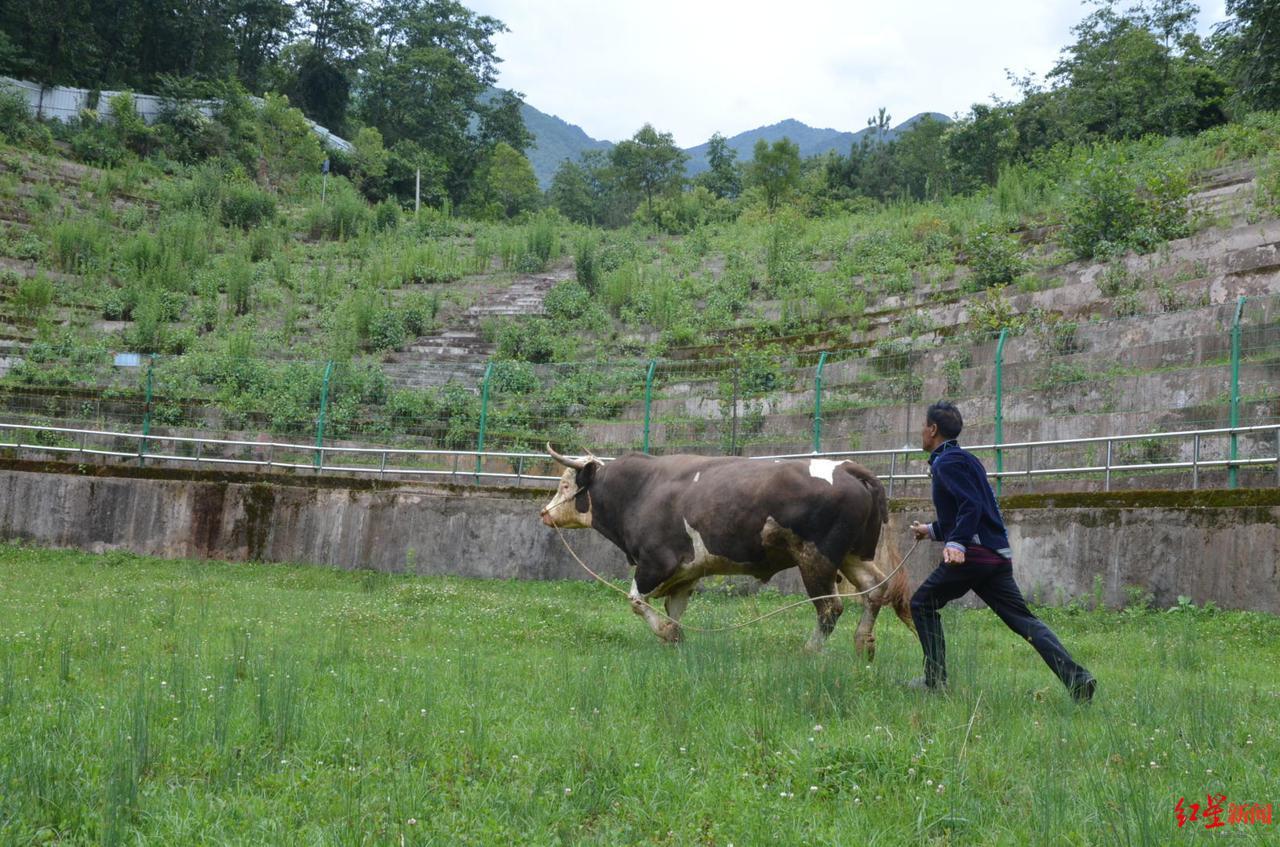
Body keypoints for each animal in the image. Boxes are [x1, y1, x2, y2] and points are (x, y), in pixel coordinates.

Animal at [545, 447, 916, 660]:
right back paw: (864, 643)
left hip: (816, 560)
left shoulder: (655, 563)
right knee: (876, 591)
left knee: (830, 609)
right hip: (855, 555)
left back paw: (810, 651)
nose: (544, 512)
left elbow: (636, 601)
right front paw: (674, 639)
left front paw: (665, 633)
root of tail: (848, 468)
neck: (641, 488)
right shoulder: (686, 573)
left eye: (564, 485)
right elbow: (674, 611)